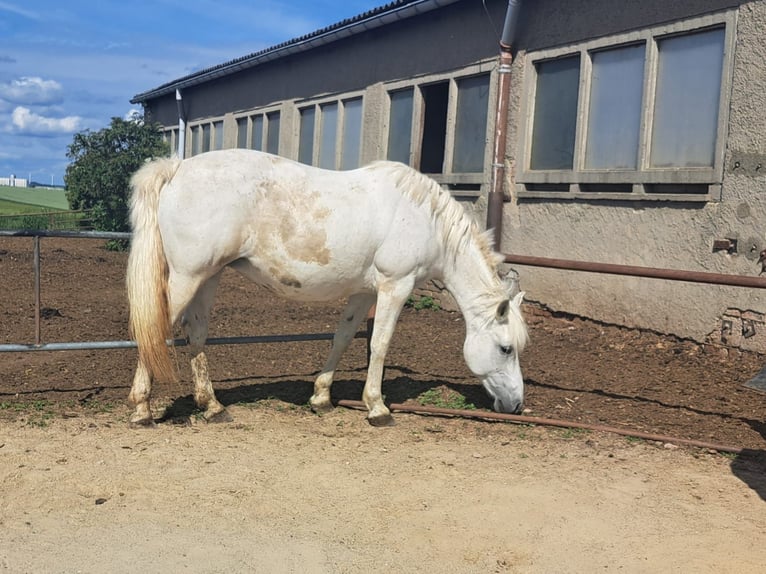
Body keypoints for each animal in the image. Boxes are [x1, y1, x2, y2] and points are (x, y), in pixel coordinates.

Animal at [126, 148, 528, 428]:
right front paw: (377, 408)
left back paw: (212, 406)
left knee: (196, 335)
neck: (423, 217)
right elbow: (380, 344)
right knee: (156, 331)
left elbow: (343, 337)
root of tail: (177, 168)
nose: (517, 404)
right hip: (186, 277)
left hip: (207, 277)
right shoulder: (395, 287)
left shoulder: (365, 292)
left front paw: (321, 397)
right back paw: (142, 409)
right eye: (505, 348)